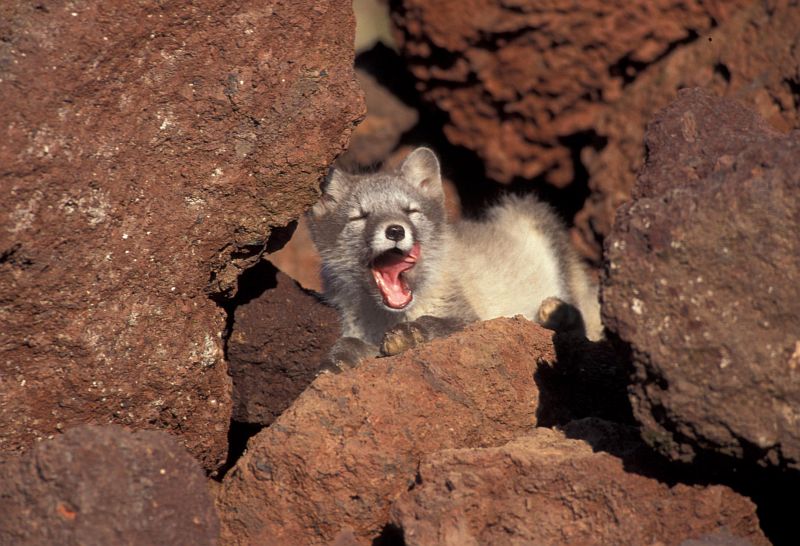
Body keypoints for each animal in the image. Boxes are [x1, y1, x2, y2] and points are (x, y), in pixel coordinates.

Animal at [307, 147, 602, 371]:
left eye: (410, 211)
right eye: (360, 216)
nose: (395, 230)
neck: (388, 317)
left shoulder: (472, 317)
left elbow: (439, 323)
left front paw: (410, 334)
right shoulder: (353, 327)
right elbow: (349, 344)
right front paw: (335, 361)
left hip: (528, 214)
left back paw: (558, 315)